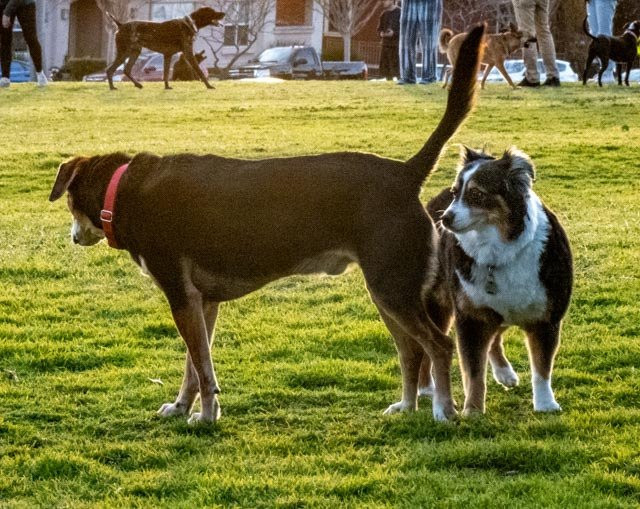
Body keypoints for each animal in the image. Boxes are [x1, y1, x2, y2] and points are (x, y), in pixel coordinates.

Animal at [418, 147, 572, 416]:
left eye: (477, 193)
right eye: (455, 193)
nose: (445, 219)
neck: (500, 252)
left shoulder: (546, 318)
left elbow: (542, 367)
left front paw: (545, 404)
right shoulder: (471, 317)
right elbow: (474, 372)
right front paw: (473, 410)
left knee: (495, 338)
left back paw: (505, 373)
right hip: (439, 303)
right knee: (432, 345)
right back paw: (427, 387)